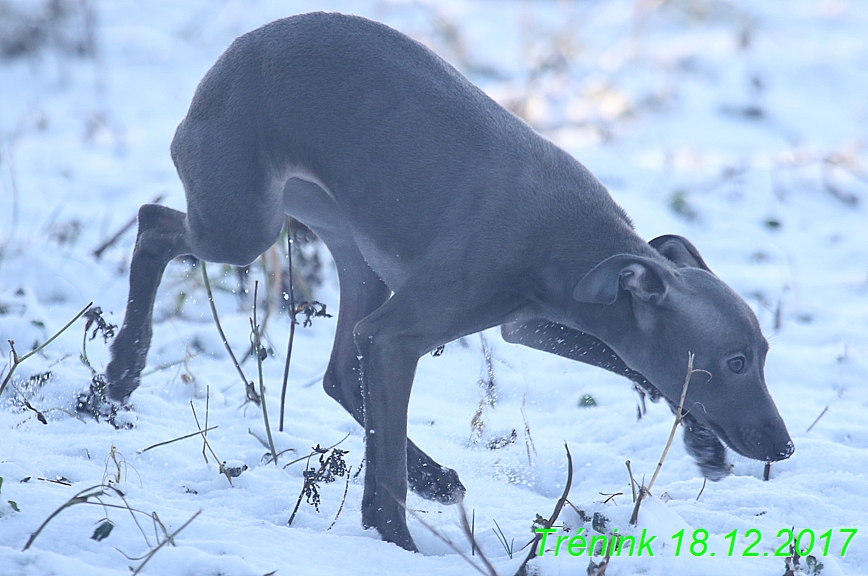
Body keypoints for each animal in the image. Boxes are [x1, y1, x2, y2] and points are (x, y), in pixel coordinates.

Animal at [101, 12, 792, 552]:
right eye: (735, 362)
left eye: (761, 355)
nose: (784, 448)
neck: (579, 243)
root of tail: (236, 50)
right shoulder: (401, 336)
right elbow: (383, 479)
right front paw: (395, 545)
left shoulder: (534, 323)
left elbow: (638, 363)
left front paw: (701, 439)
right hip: (246, 225)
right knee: (154, 224)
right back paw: (124, 367)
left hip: (353, 251)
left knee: (340, 374)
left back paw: (432, 475)